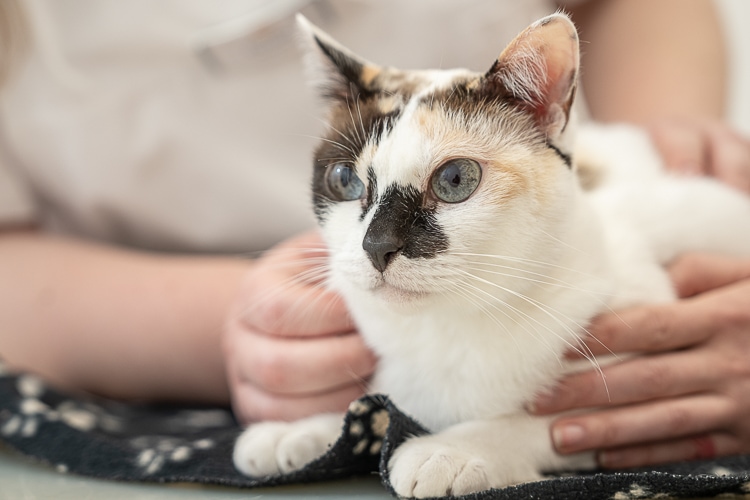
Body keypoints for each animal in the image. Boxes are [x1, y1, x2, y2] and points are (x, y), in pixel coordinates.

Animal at [232, 11, 750, 496]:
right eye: (344, 180)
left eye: (455, 180)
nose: (377, 246)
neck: (449, 334)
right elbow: (374, 402)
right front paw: (303, 430)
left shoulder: (624, 391)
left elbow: (546, 423)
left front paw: (451, 449)